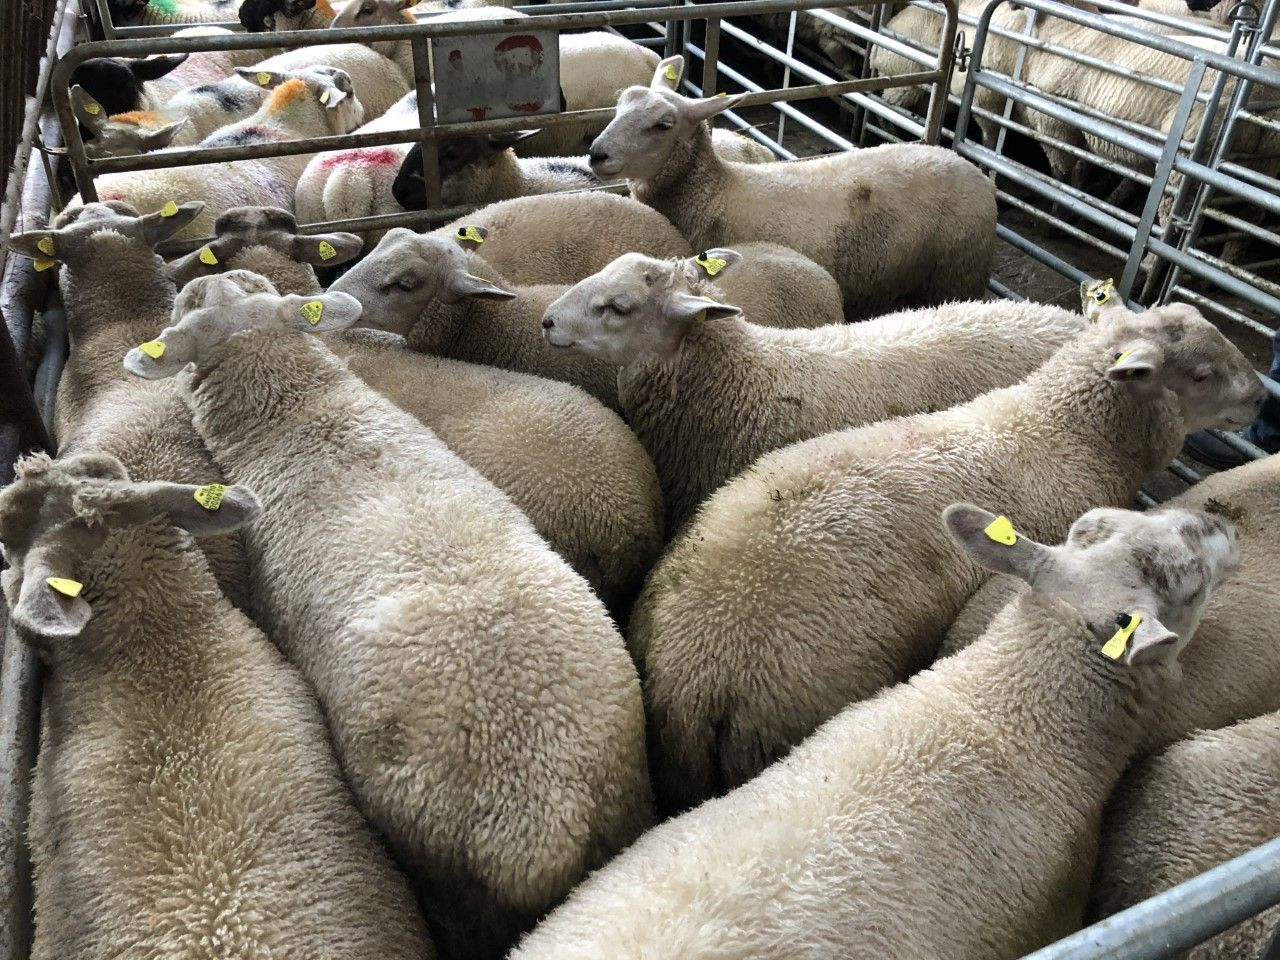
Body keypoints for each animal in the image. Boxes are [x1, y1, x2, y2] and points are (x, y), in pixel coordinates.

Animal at [124, 277, 654, 960]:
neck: (299, 414)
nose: (192, 281)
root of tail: (542, 814)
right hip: (623, 799)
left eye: (190, 313)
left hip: (446, 872)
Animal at [589, 55, 997, 317]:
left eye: (663, 125)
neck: (713, 192)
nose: (596, 154)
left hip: (956, 275)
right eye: (619, 106)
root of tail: (970, 168)